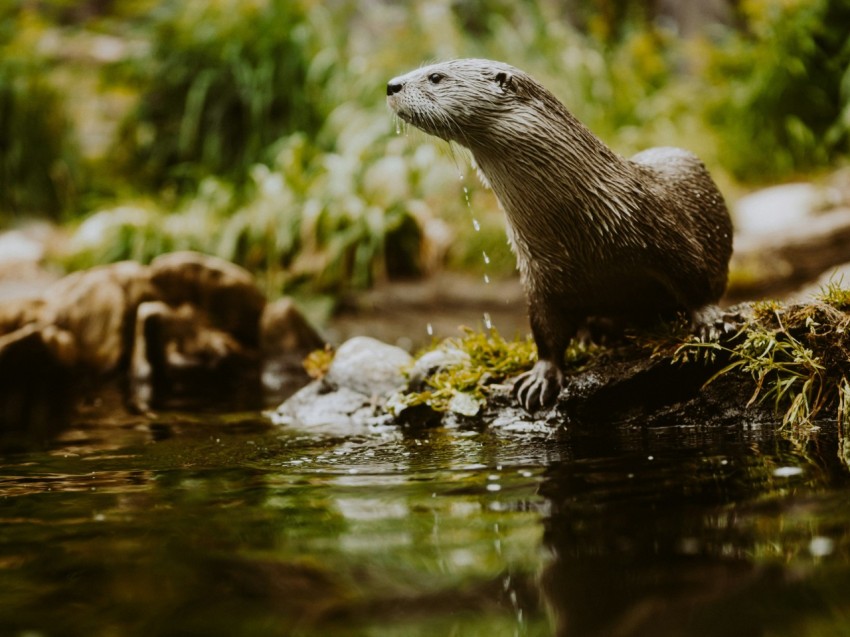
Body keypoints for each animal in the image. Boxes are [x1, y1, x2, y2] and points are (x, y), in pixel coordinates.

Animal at [384, 59, 728, 412]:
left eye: (435, 77)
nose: (391, 85)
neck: (585, 232)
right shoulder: (540, 274)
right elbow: (545, 330)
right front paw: (541, 377)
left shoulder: (666, 232)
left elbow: (694, 278)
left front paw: (708, 324)